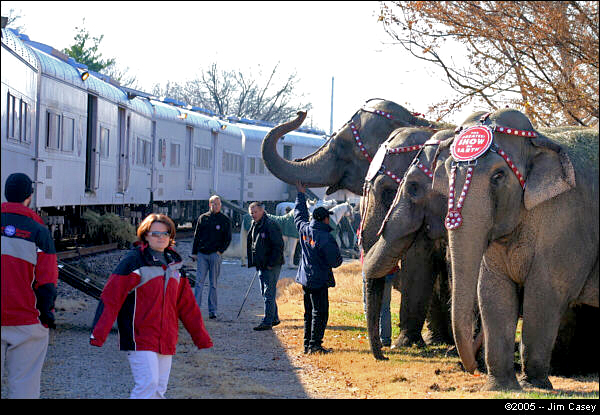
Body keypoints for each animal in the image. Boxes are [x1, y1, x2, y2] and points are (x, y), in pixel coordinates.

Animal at [426, 109, 596, 392]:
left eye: (498, 176)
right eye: (449, 170)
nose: (472, 369)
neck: (538, 139)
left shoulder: (566, 223)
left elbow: (545, 294)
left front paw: (535, 384)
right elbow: (492, 292)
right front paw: (500, 386)